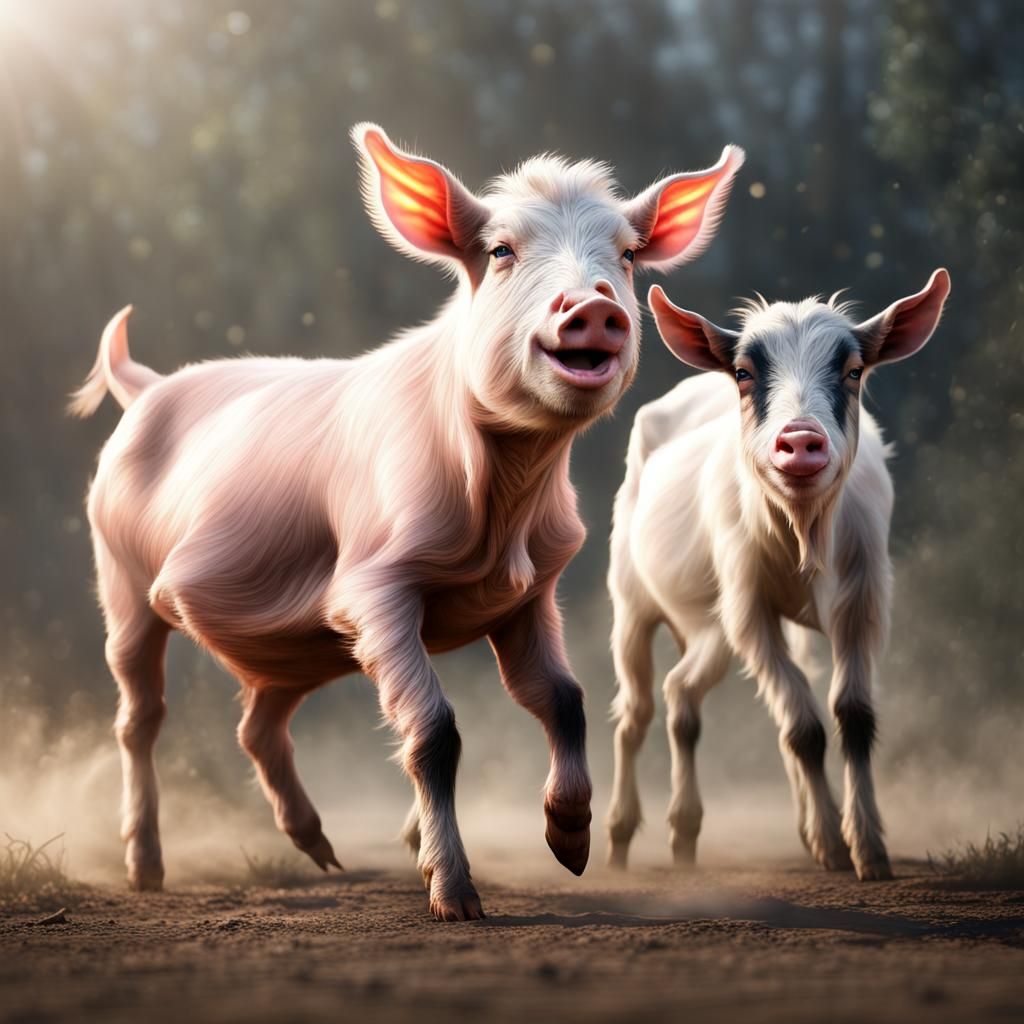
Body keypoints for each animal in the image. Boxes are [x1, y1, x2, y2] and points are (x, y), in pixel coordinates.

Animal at [70, 124, 745, 920]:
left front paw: (571, 848)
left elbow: (563, 700)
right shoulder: (373, 589)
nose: (592, 306)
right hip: (120, 575)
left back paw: (323, 853)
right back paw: (147, 869)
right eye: (501, 250)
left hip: (291, 647)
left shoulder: (530, 592)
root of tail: (144, 386)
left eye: (629, 254)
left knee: (256, 724)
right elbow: (434, 733)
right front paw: (457, 902)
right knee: (140, 715)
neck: (503, 510)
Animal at [605, 269, 950, 881]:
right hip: (633, 601)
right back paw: (621, 839)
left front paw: (865, 847)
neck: (803, 534)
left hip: (711, 630)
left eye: (853, 370)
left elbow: (850, 716)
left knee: (682, 693)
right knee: (637, 709)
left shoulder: (861, 600)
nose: (801, 441)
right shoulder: (750, 609)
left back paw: (688, 833)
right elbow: (804, 728)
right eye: (744, 373)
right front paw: (834, 846)